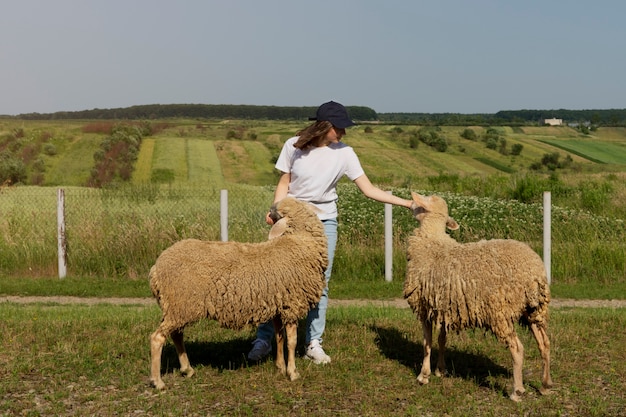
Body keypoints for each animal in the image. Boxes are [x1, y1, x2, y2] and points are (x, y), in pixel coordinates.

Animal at [400, 192, 552, 400]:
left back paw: (517, 391)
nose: (409, 204)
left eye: (421, 202)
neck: (432, 241)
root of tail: (534, 273)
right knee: (544, 343)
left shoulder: (424, 308)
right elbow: (442, 339)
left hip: (500, 312)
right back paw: (545, 385)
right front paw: (441, 370)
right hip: (534, 310)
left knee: (517, 348)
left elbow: (427, 343)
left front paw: (424, 375)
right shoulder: (446, 307)